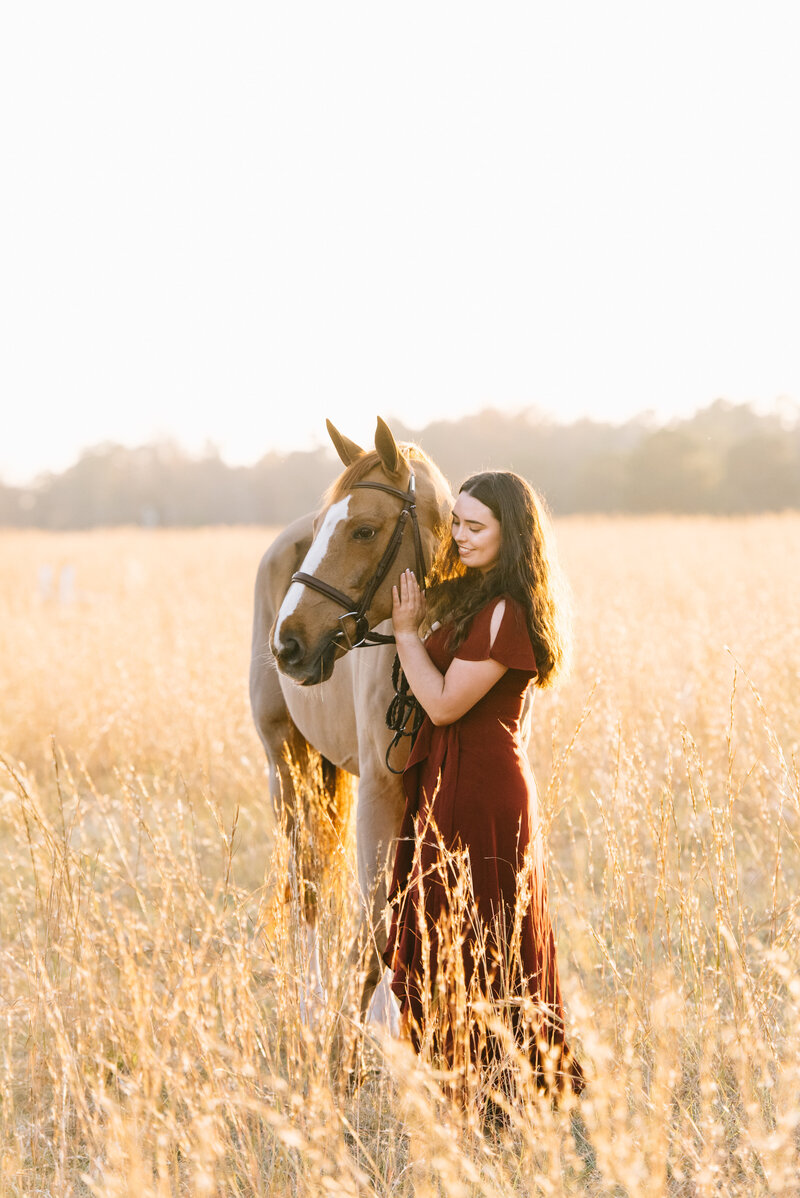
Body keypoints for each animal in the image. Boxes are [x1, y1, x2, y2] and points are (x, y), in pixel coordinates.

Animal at [249, 417, 453, 1038]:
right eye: (323, 529)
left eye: (364, 530)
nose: (287, 645)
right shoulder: (381, 789)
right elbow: (379, 917)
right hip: (286, 765)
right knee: (307, 884)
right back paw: (311, 1008)